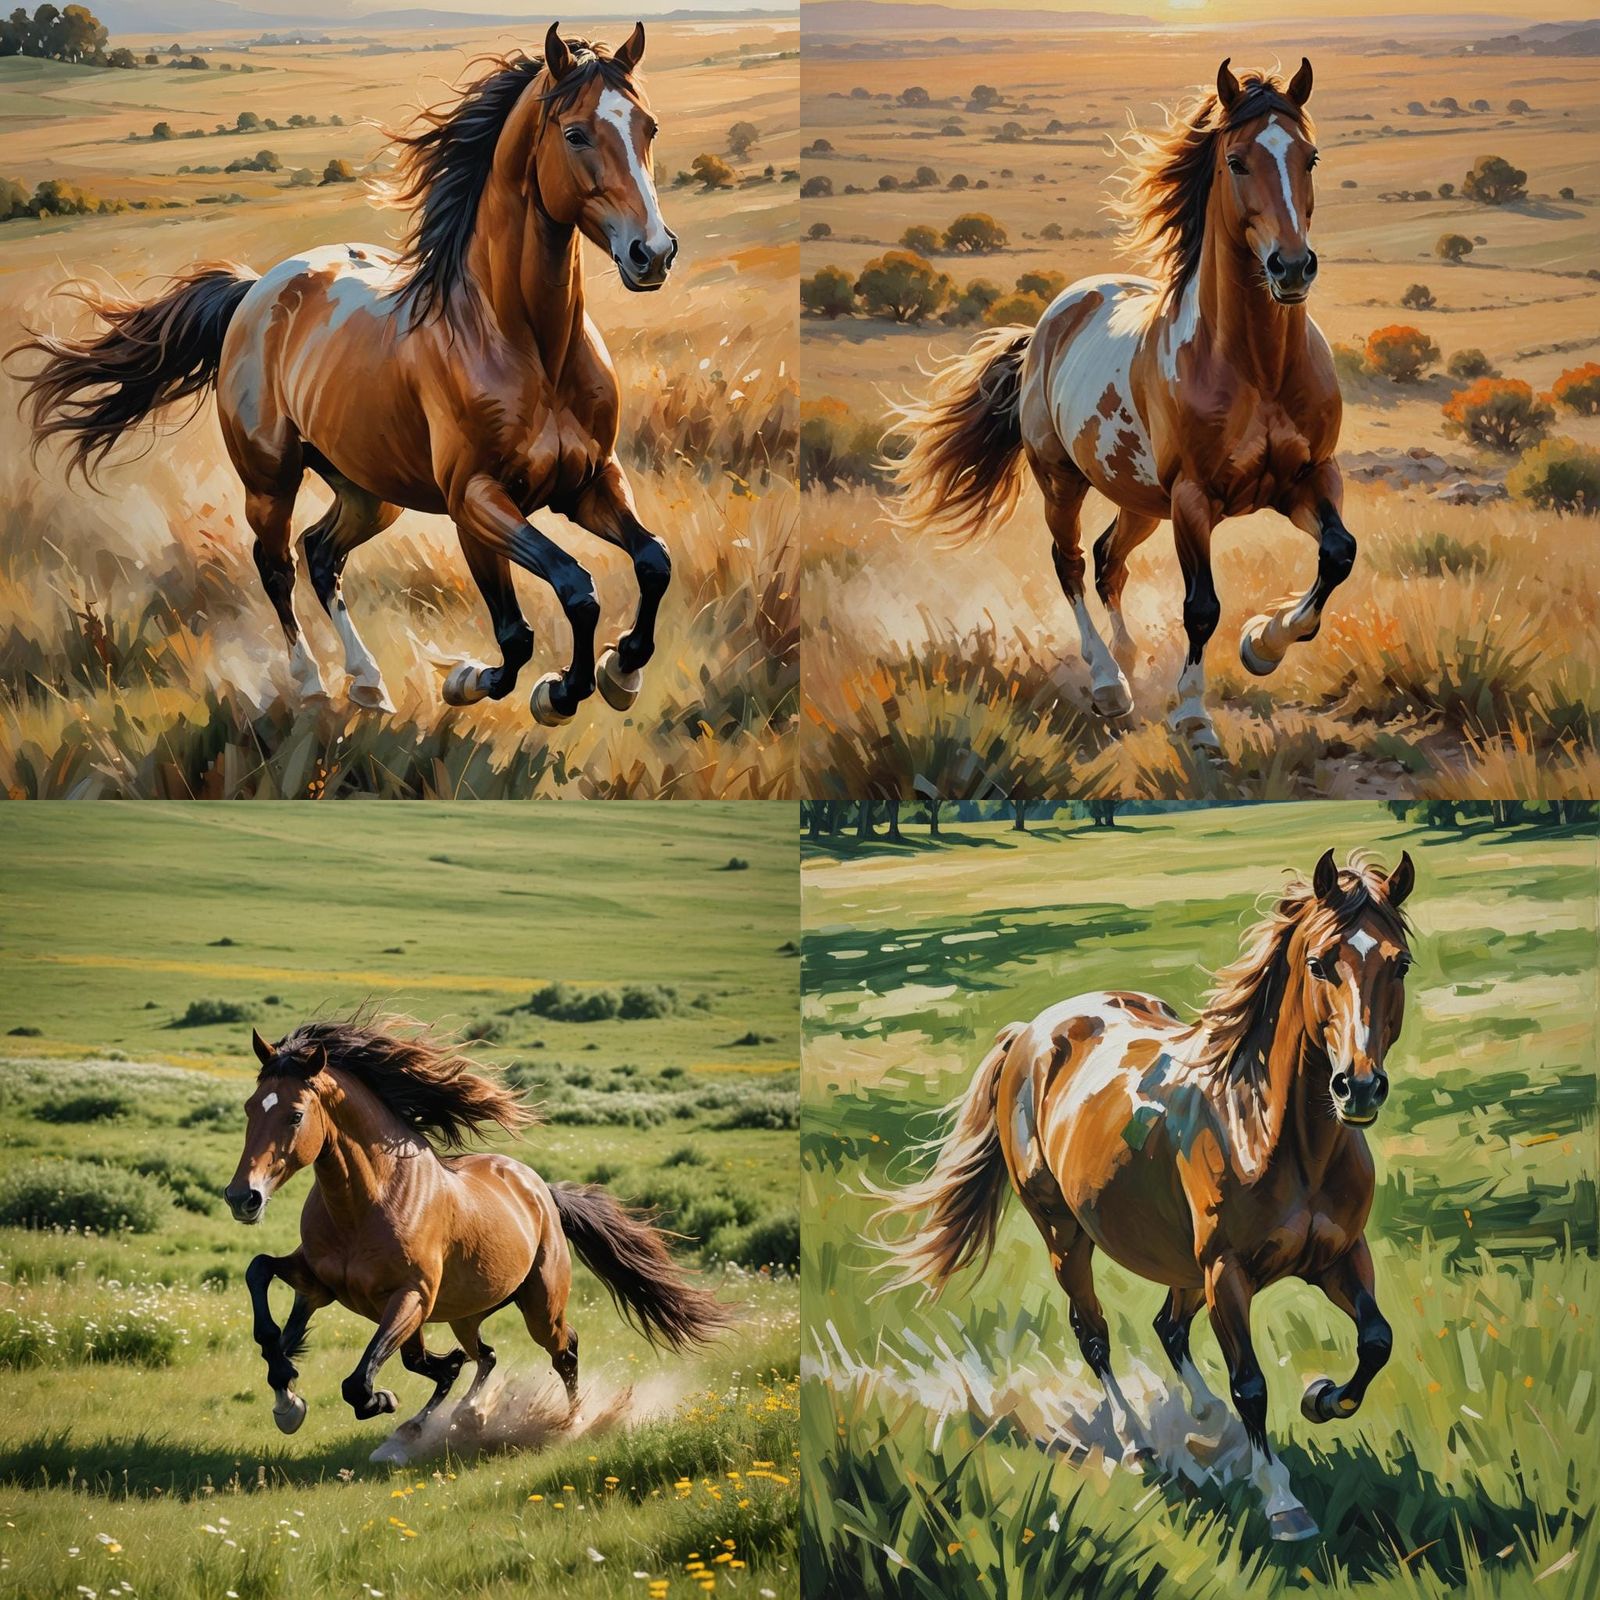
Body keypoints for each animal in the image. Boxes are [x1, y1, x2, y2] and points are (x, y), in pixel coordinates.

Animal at [16, 23, 676, 727]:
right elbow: (545, 612)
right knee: (277, 564)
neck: (526, 345)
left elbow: (651, 561)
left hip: (367, 489)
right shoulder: (475, 501)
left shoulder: (591, 480)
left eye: (650, 126)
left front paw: (620, 671)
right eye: (576, 133)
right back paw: (313, 684)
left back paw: (368, 684)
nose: (653, 253)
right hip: (270, 481)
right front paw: (511, 685)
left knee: (322, 553)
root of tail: (256, 290)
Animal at [224, 1016, 730, 1463]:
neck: (369, 1201)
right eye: (248, 1107)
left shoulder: (410, 1297)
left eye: (294, 1115)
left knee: (563, 1351)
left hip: (539, 1307)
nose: (242, 1197)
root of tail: (540, 1190)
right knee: (480, 1356)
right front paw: (287, 1395)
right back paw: (452, 1419)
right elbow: (259, 1276)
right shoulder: (320, 1282)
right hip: (463, 1313)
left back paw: (568, 1424)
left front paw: (380, 1401)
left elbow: (361, 1382)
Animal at [868, 849, 1414, 1542]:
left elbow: (1377, 1341)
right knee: (1094, 1333)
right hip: (1067, 1236)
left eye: (1400, 962)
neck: (1276, 1134)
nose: (1358, 1087)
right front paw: (1283, 1503)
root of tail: (1032, 1032)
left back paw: (1206, 1418)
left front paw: (1321, 1399)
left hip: (1181, 1263)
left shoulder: (1340, 1255)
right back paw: (1136, 1444)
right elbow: (1252, 1384)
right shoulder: (1226, 1272)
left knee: (1168, 1327)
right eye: (1320, 963)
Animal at [891, 59, 1349, 756]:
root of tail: (1051, 320)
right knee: (1073, 563)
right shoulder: (1193, 498)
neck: (1259, 369)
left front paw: (1264, 644)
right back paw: (1109, 684)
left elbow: (1338, 554)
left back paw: (1129, 663)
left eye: (1311, 157)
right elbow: (1201, 606)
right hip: (1063, 481)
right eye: (1237, 161)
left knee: (1110, 560)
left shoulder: (1308, 478)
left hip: (1140, 501)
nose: (1291, 267)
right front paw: (1194, 718)